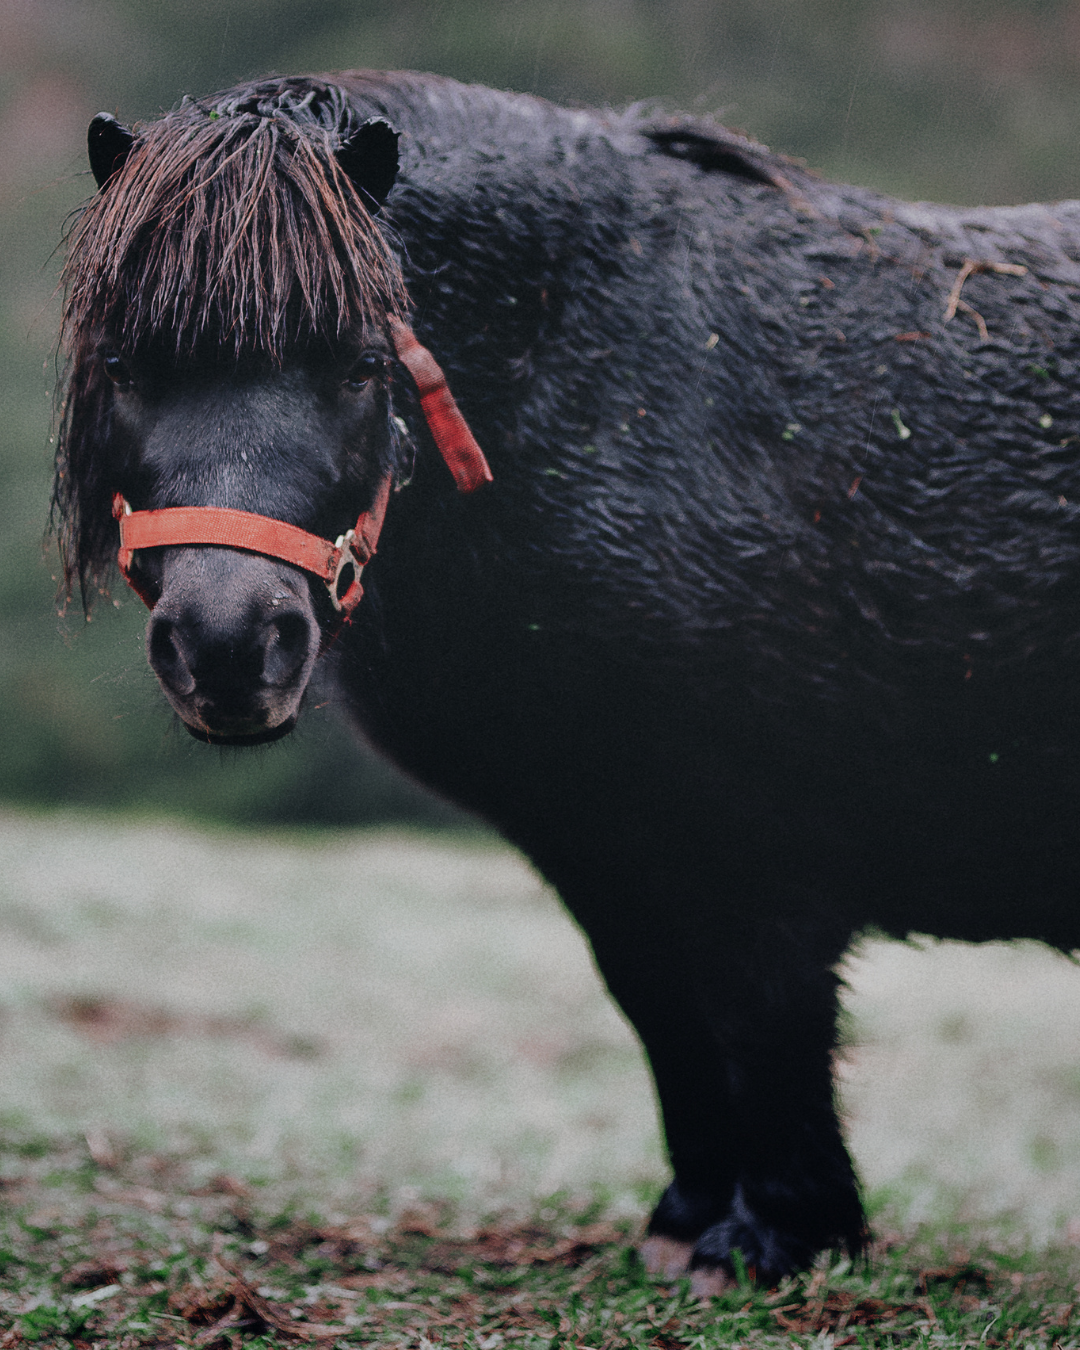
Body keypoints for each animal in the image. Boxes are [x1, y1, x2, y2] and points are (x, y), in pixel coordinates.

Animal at [53, 70, 1080, 1291]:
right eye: (124, 367)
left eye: (361, 365)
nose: (225, 644)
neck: (613, 387)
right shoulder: (608, 844)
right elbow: (667, 1020)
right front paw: (689, 1222)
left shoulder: (765, 850)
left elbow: (763, 1020)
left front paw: (777, 1237)